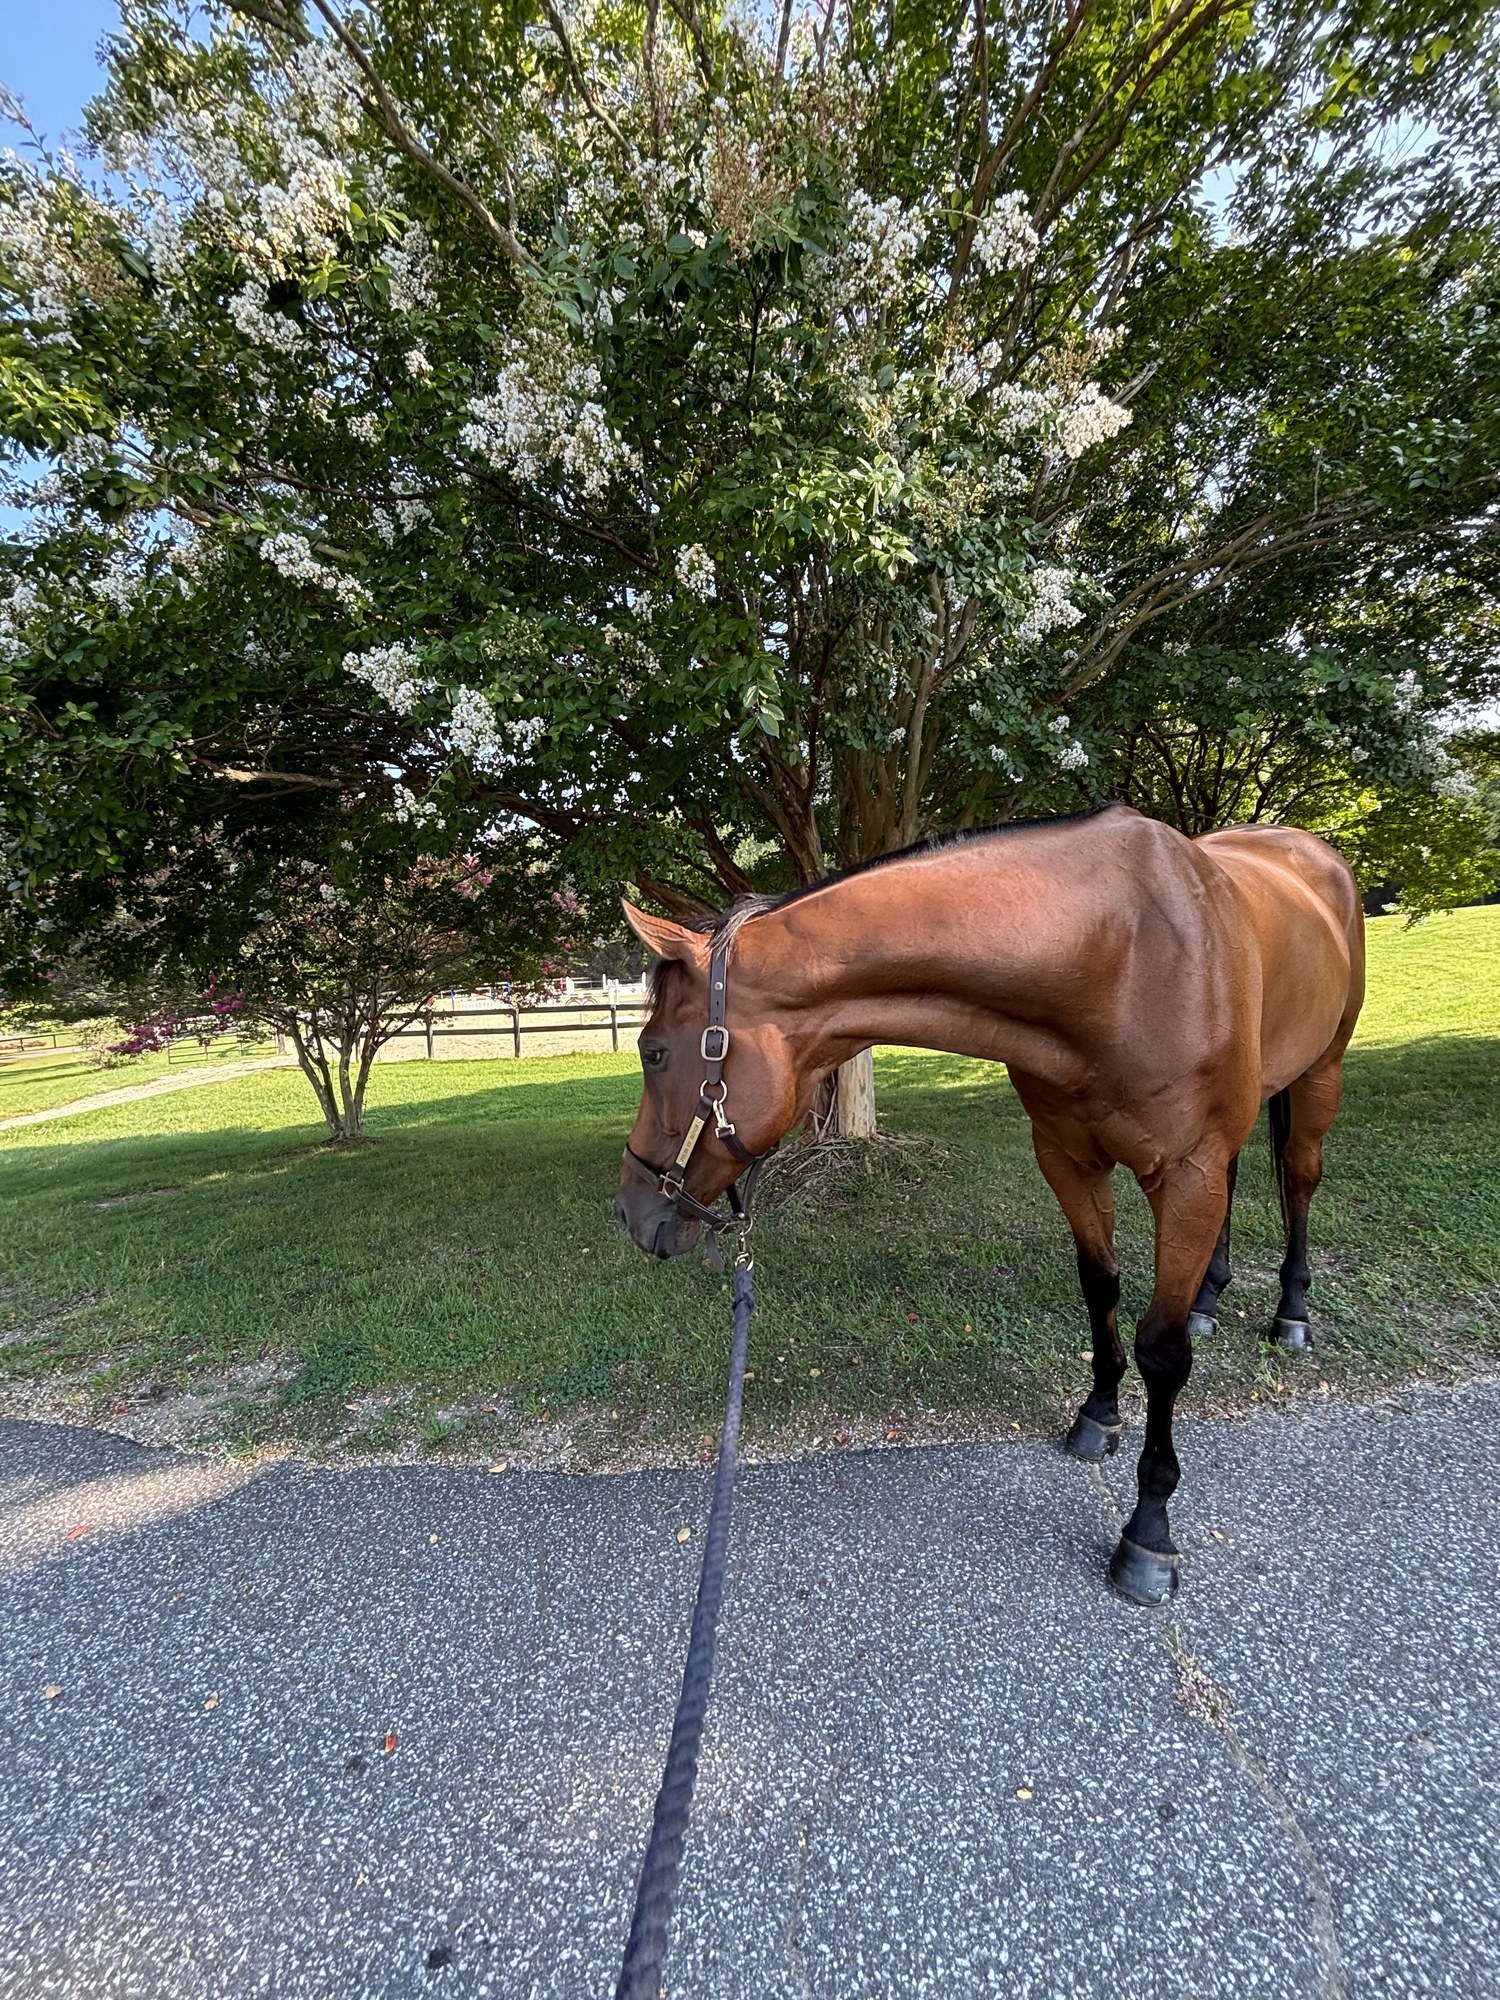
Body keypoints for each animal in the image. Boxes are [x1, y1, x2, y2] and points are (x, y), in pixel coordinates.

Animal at [615, 803, 1365, 1604]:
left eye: (654, 1051)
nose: (631, 1211)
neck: (1121, 953)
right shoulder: (1068, 1160)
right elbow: (1099, 1287)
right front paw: (1099, 1414)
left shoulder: (1185, 1171)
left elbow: (1162, 1352)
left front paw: (1148, 1534)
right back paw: (1208, 1299)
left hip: (1319, 1076)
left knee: (1299, 1181)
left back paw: (1291, 1313)